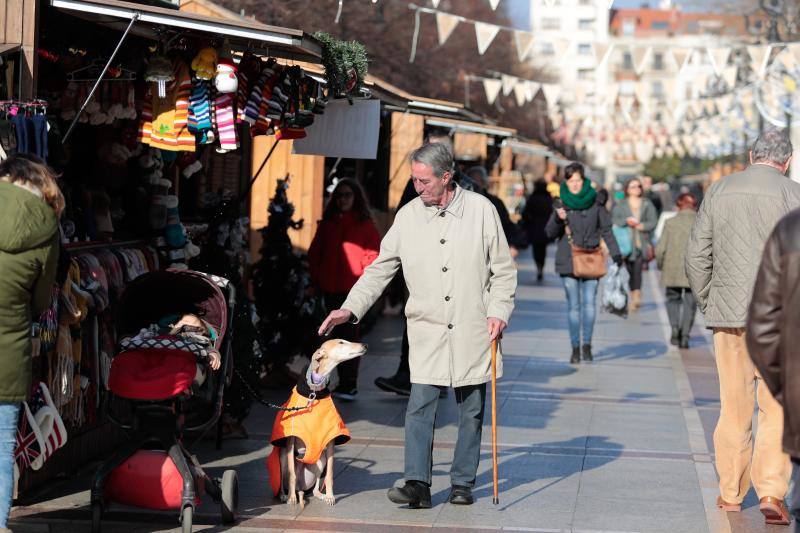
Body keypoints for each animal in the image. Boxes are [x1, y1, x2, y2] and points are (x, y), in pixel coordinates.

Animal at [268, 338, 368, 504]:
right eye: (341, 342)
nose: (365, 345)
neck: (314, 391)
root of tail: (301, 488)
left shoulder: (331, 440)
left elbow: (329, 475)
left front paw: (330, 496)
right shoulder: (291, 440)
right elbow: (292, 474)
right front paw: (291, 499)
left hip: (321, 459)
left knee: (315, 487)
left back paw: (320, 494)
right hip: (282, 456)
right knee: (286, 478)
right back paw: (285, 494)